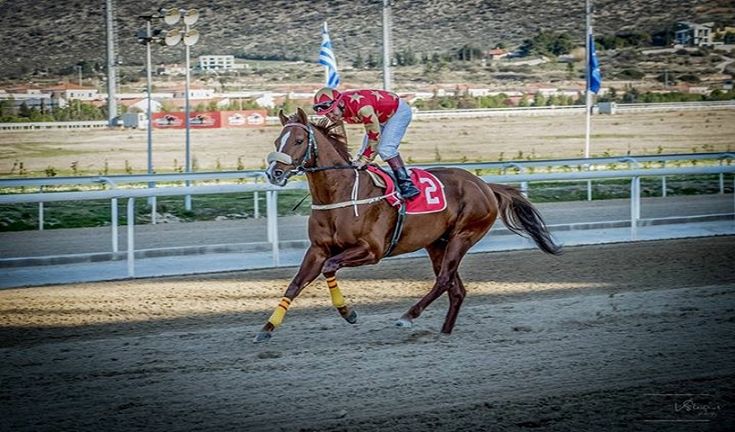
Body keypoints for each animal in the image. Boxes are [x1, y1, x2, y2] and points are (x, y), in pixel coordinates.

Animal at [256, 109, 560, 344]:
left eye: (298, 140)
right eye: (277, 140)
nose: (274, 173)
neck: (340, 194)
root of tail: (485, 185)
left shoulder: (371, 250)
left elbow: (330, 267)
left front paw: (348, 313)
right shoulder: (317, 249)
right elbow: (295, 285)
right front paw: (266, 329)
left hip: (463, 236)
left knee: (444, 280)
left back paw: (408, 317)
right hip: (437, 243)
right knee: (456, 288)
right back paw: (444, 333)